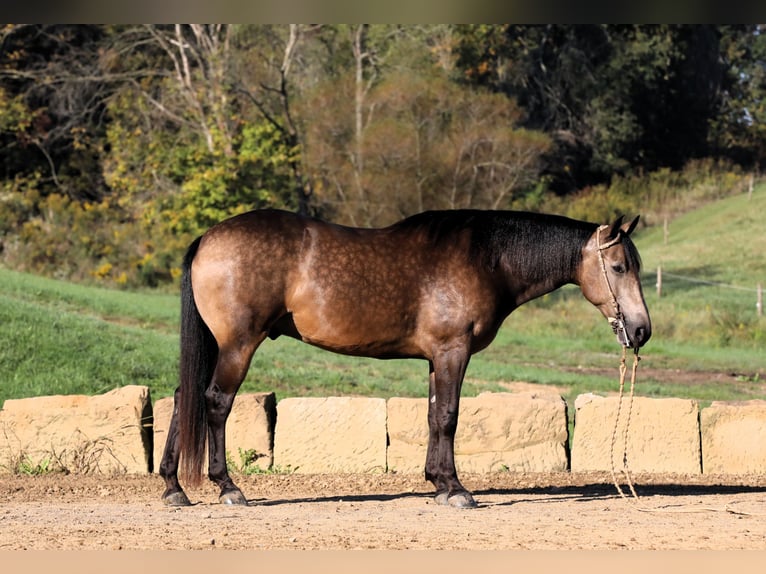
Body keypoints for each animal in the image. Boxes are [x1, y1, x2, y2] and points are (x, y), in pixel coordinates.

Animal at [159, 210, 652, 508]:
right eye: (619, 267)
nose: (641, 330)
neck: (487, 259)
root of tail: (208, 238)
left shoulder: (438, 357)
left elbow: (435, 416)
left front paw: (438, 482)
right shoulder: (454, 351)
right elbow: (449, 416)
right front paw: (457, 490)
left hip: (217, 345)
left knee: (185, 397)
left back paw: (172, 486)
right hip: (239, 344)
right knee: (216, 402)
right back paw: (228, 487)